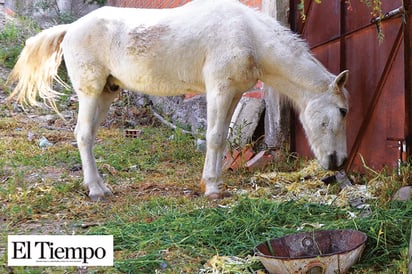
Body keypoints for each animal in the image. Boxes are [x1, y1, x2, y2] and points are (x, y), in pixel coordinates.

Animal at [7, 0, 348, 201]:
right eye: (343, 111)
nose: (339, 161)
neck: (249, 35)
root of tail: (70, 29)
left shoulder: (233, 93)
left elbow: (222, 138)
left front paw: (212, 183)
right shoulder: (219, 90)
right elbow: (214, 138)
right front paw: (212, 188)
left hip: (106, 91)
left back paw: (98, 186)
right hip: (90, 93)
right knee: (83, 136)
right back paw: (96, 189)